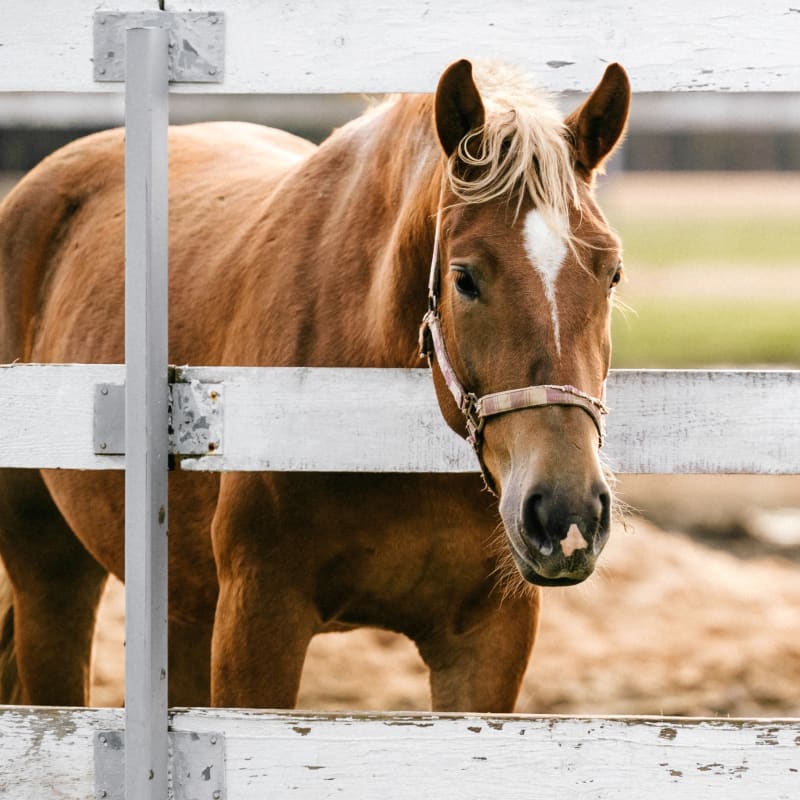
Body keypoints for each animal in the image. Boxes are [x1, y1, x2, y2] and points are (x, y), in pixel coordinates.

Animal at [0, 57, 628, 712]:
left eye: (611, 272)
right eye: (464, 278)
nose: (566, 515)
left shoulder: (488, 641)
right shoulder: (259, 616)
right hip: (51, 577)